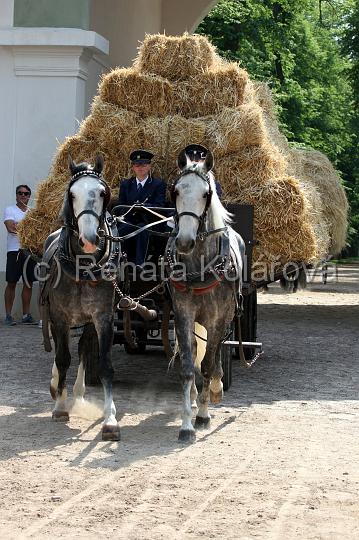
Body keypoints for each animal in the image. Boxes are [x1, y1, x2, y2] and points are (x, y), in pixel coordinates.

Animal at [40, 155, 122, 438]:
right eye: (72, 194)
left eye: (102, 192)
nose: (89, 239)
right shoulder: (60, 316)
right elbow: (63, 358)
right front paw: (59, 407)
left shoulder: (103, 317)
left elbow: (105, 364)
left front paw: (110, 419)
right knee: (59, 350)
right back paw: (57, 387)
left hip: (87, 322)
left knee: (84, 348)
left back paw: (77, 391)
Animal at [167, 149, 246, 442]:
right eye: (176, 191)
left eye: (206, 194)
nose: (184, 241)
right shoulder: (183, 315)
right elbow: (189, 368)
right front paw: (186, 424)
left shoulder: (217, 319)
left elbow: (209, 363)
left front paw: (203, 414)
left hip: (226, 318)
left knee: (218, 351)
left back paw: (215, 388)